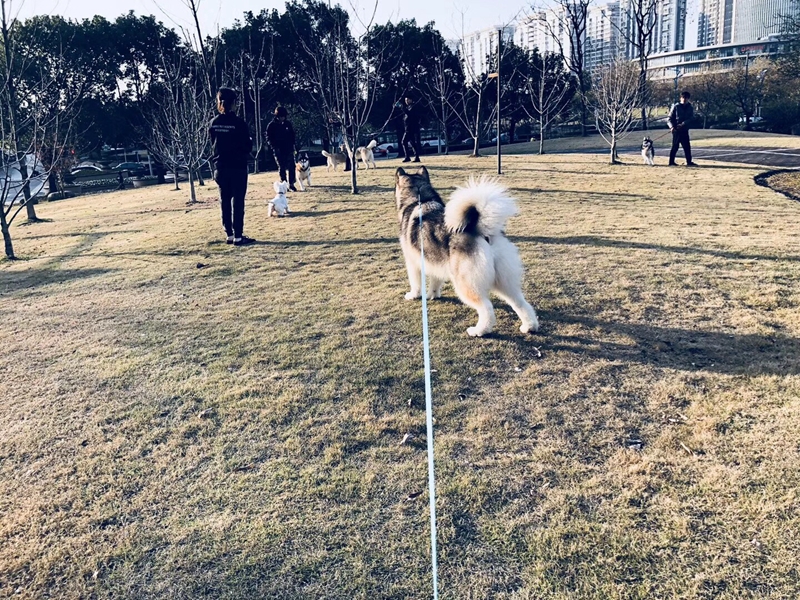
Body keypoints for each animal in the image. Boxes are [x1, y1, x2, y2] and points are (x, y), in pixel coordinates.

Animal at [394, 166, 539, 337]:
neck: (419, 198)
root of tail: (481, 231)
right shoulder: (435, 261)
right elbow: (436, 280)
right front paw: (433, 295)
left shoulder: (413, 262)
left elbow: (415, 283)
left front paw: (414, 295)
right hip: (505, 280)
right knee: (521, 303)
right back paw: (529, 326)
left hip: (466, 284)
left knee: (486, 308)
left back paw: (479, 330)